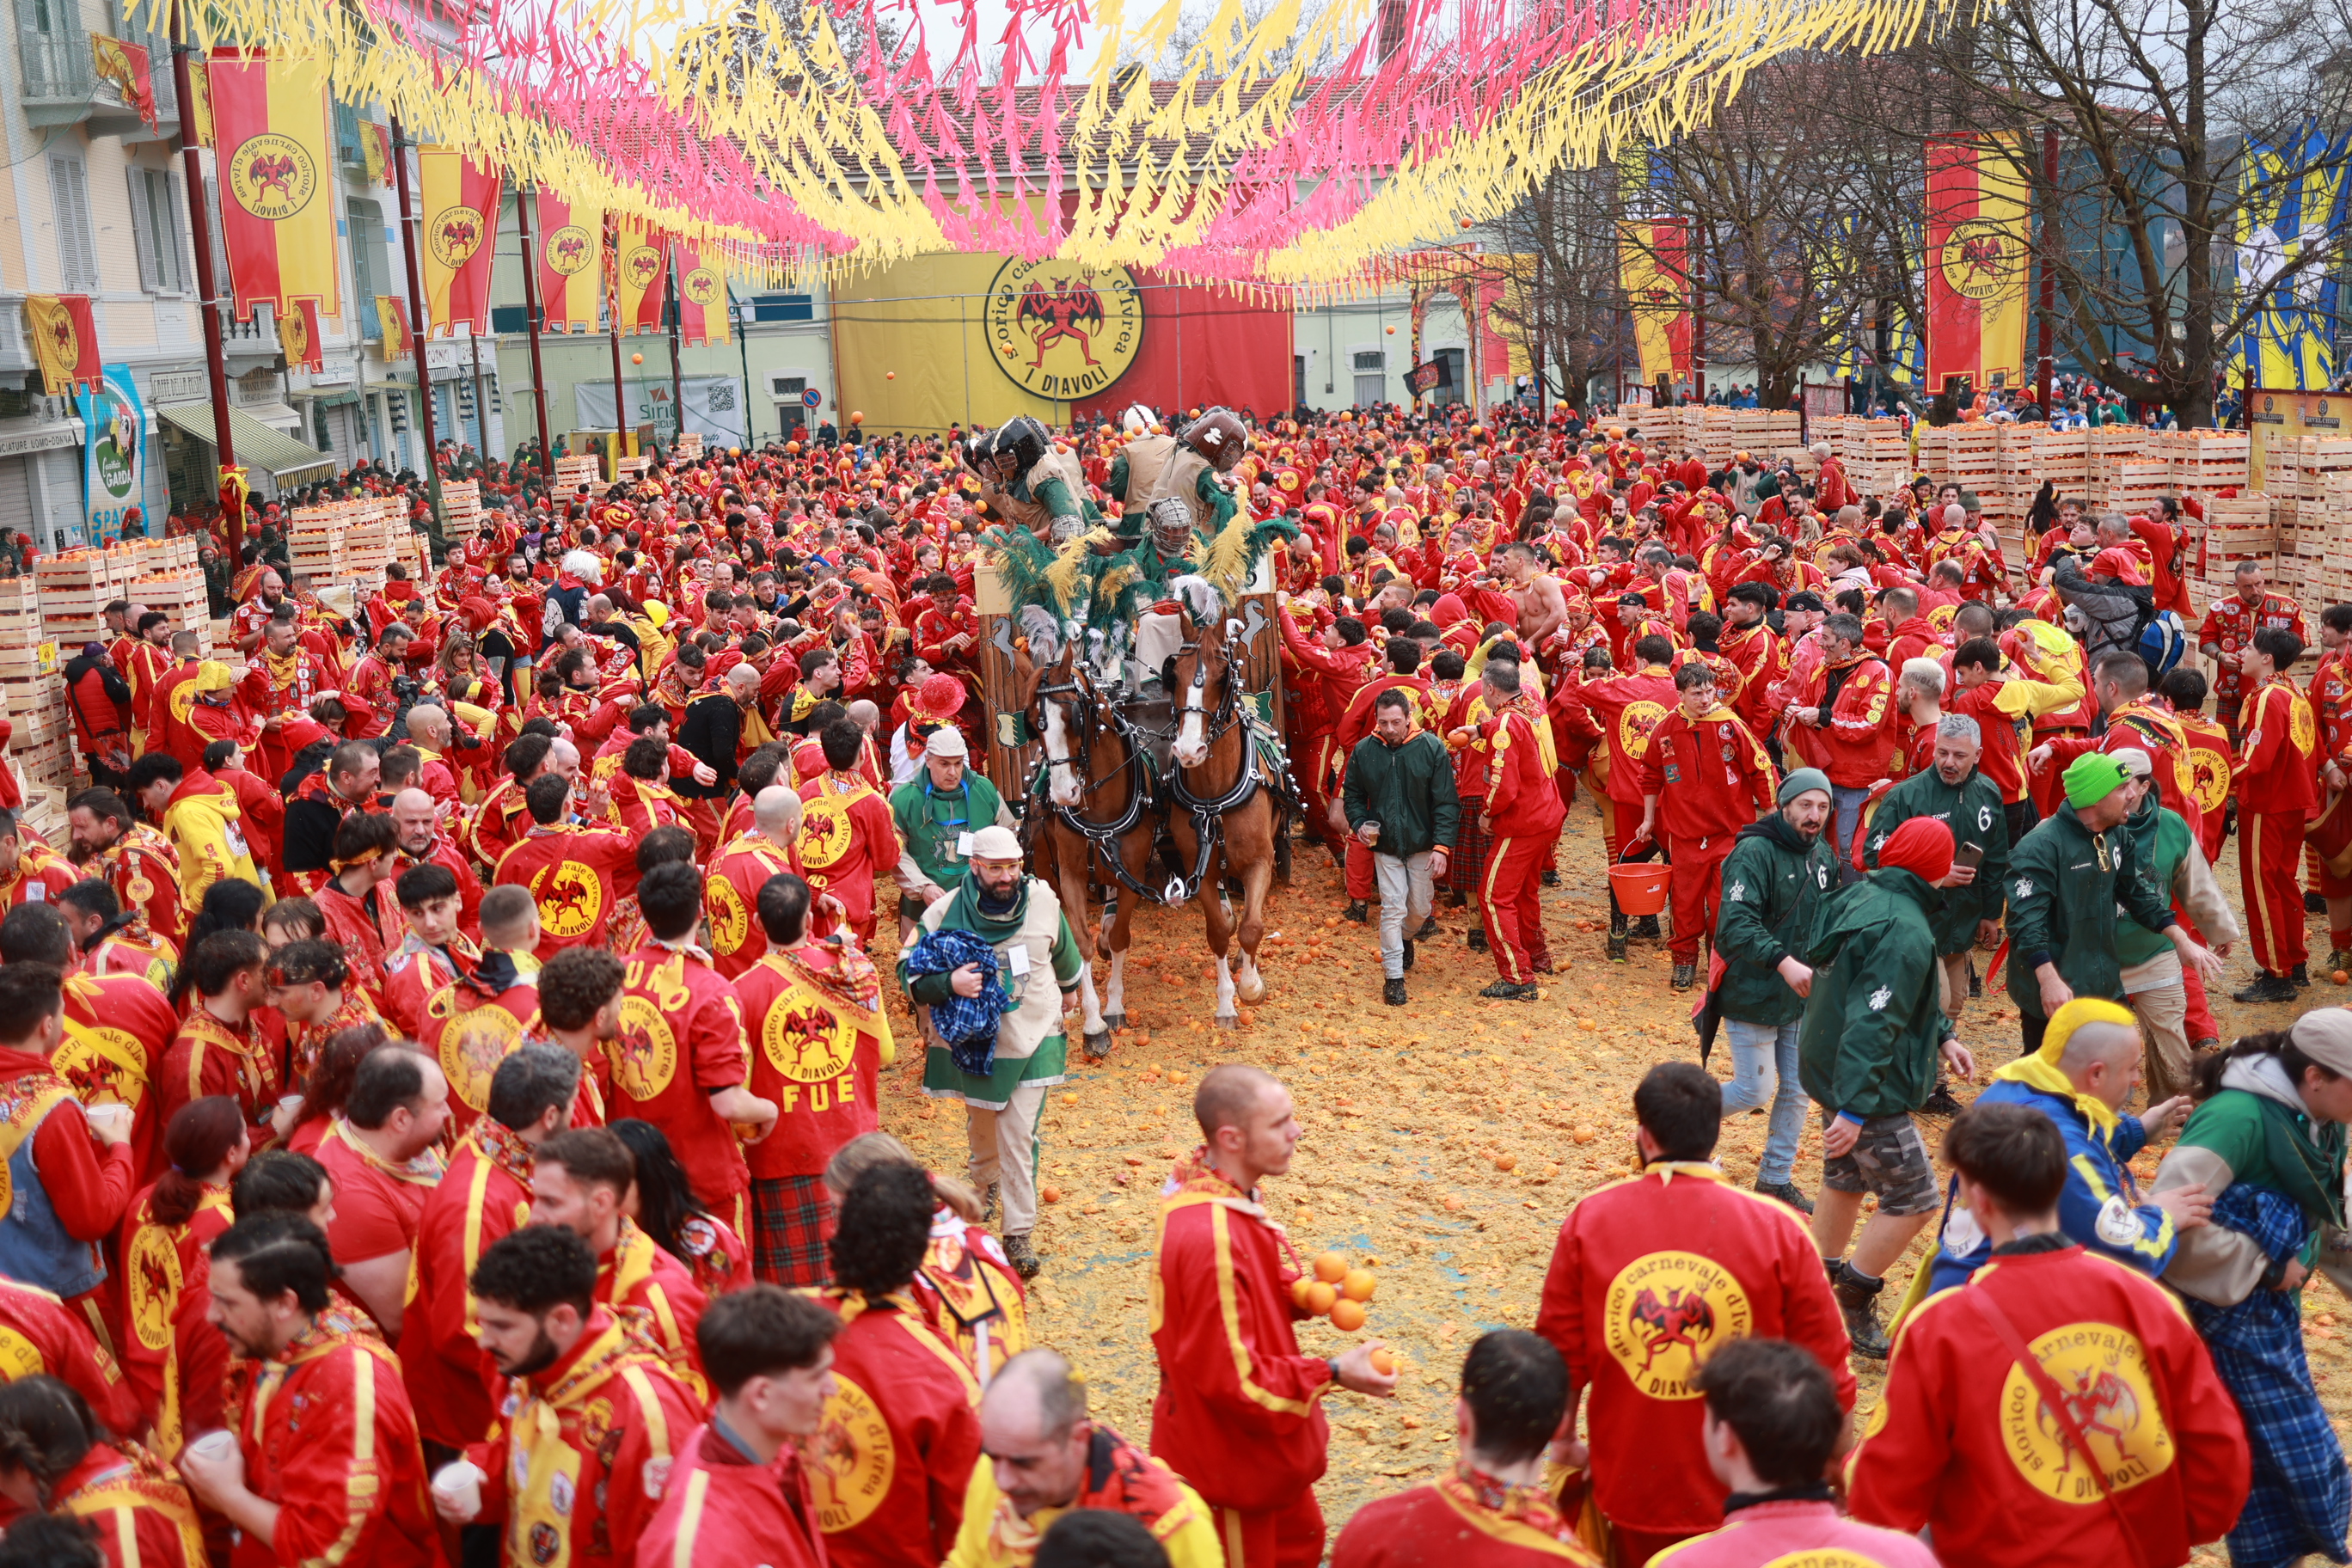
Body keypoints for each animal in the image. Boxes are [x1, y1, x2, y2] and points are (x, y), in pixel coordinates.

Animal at [1017, 635, 1160, 1059]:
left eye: (1075, 716)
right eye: (1032, 722)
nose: (1063, 794)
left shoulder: (1133, 872)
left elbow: (1120, 937)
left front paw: (1113, 1007)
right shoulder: (1071, 875)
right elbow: (1079, 943)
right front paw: (1094, 1024)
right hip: (1046, 867)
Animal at [1165, 601, 1284, 1026]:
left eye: (1223, 675)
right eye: (1174, 675)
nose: (1188, 750)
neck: (1214, 798)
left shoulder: (1262, 860)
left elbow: (1252, 927)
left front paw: (1250, 987)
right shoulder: (1194, 865)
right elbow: (1218, 929)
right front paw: (1225, 1002)